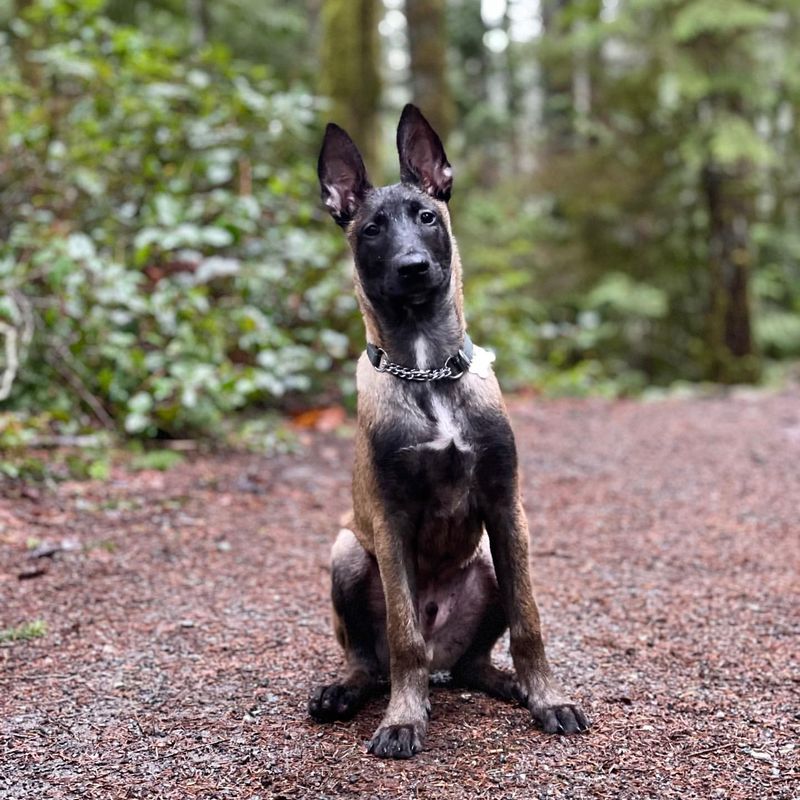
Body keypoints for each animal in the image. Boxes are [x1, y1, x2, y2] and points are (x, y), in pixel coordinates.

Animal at [310, 104, 592, 756]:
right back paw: (348, 691)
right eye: (371, 230)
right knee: (374, 659)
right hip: (347, 553)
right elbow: (404, 636)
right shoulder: (390, 521)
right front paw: (403, 718)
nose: (413, 268)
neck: (428, 373)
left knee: (471, 663)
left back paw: (506, 683)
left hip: (487, 561)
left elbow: (529, 621)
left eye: (427, 216)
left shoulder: (506, 506)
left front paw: (547, 698)